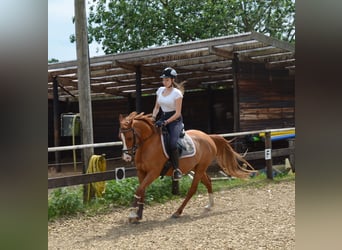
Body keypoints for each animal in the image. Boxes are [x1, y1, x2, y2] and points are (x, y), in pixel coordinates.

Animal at [119, 111, 252, 223]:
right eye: (120, 137)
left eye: (129, 137)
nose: (126, 158)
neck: (147, 143)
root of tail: (208, 137)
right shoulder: (141, 172)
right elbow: (142, 190)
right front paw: (138, 215)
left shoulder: (153, 173)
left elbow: (139, 190)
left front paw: (132, 215)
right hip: (196, 167)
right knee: (208, 182)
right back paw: (210, 205)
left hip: (200, 168)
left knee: (192, 189)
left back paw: (178, 212)